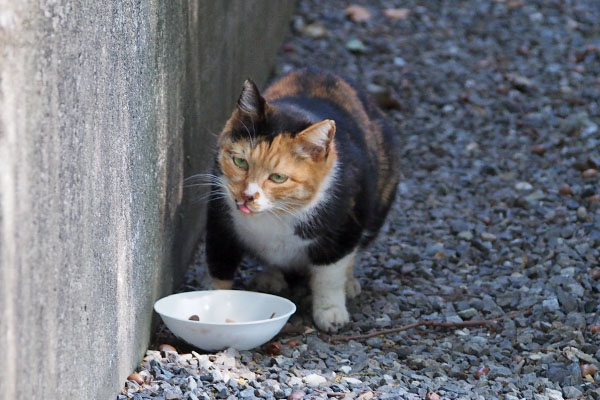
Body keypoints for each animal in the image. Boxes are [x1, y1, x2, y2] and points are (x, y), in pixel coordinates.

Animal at [204, 69, 400, 332]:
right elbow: (219, 265)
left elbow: (329, 274)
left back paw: (349, 284)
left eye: (278, 177)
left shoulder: (345, 226)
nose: (247, 195)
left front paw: (331, 313)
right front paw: (211, 307)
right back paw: (270, 278)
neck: (274, 216)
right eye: (240, 162)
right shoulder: (219, 219)